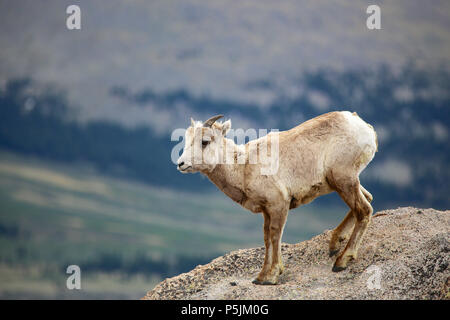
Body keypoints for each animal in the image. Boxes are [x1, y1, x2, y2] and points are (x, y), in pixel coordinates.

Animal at [178, 111, 378, 284]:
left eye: (204, 141)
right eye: (187, 140)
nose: (180, 163)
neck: (243, 167)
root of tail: (364, 126)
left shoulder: (278, 205)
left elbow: (275, 236)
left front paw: (271, 277)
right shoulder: (266, 211)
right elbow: (267, 238)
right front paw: (261, 277)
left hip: (344, 179)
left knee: (363, 209)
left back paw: (341, 262)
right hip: (343, 182)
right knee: (367, 199)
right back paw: (335, 244)